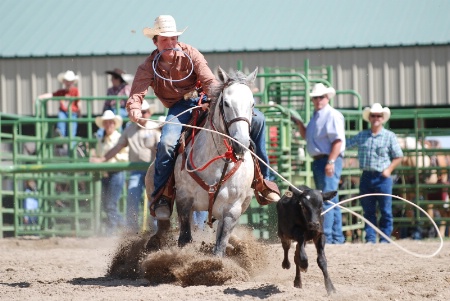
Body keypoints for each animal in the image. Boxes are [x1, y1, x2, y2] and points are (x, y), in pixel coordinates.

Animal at [147, 67, 256, 255]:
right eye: (226, 103)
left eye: (252, 104)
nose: (241, 143)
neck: (217, 164)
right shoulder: (184, 199)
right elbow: (184, 238)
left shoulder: (232, 209)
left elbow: (220, 246)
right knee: (162, 223)